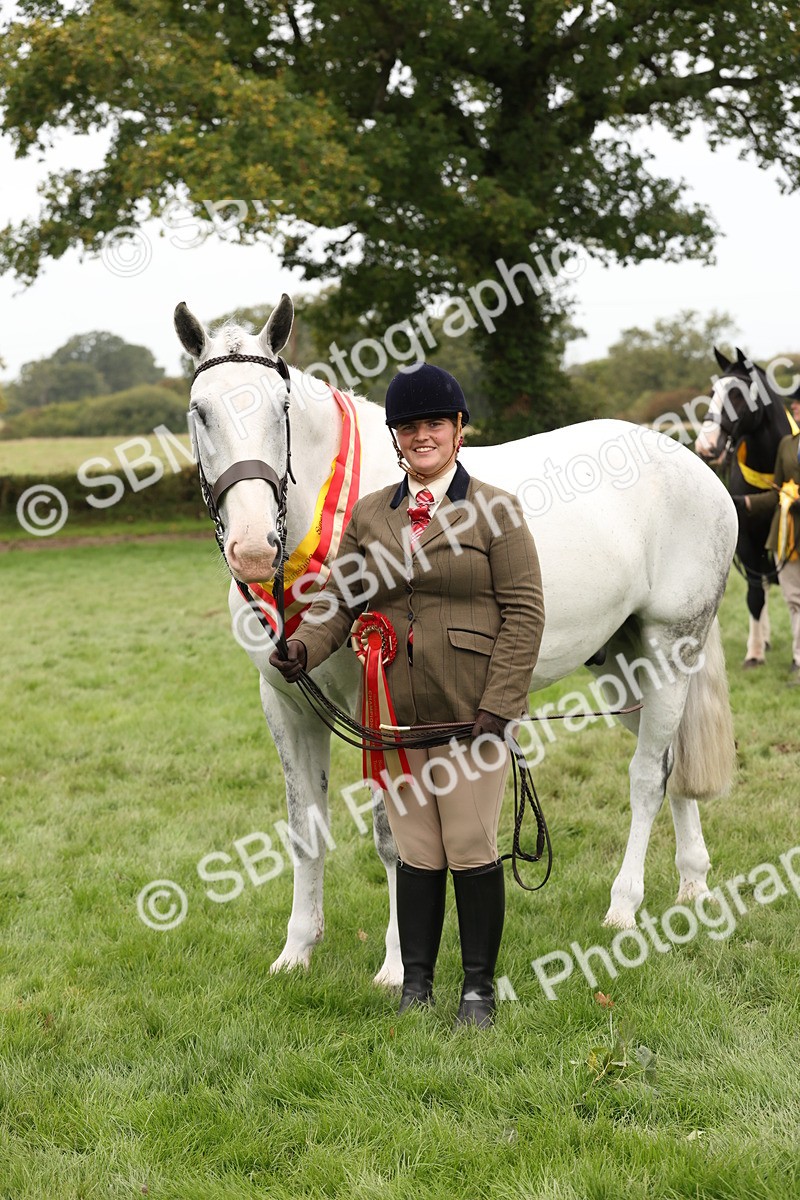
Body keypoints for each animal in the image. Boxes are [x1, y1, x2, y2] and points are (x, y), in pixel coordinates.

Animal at [175, 294, 738, 986]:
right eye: (200, 412)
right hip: (626, 666)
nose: (253, 547)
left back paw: (625, 907)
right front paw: (297, 949)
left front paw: (396, 966)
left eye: (279, 409)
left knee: (649, 775)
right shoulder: (285, 699)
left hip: (671, 646)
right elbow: (305, 827)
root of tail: (693, 465)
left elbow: (394, 836)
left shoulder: (379, 704)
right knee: (674, 763)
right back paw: (692, 884)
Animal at [695, 347, 800, 667]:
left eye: (738, 394)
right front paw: (754, 653)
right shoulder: (748, 542)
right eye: (712, 392)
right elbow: (755, 596)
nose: (706, 445)